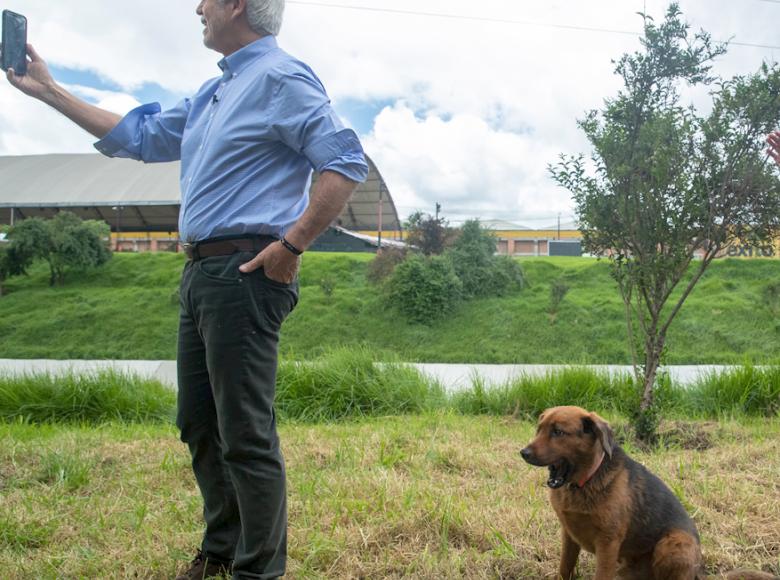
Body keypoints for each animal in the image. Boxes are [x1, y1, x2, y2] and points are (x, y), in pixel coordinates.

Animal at [520, 408, 776, 580]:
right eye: (539, 429)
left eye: (558, 432)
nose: (523, 452)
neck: (586, 480)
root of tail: (699, 573)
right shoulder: (569, 535)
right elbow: (565, 568)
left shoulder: (607, 543)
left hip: (674, 543)